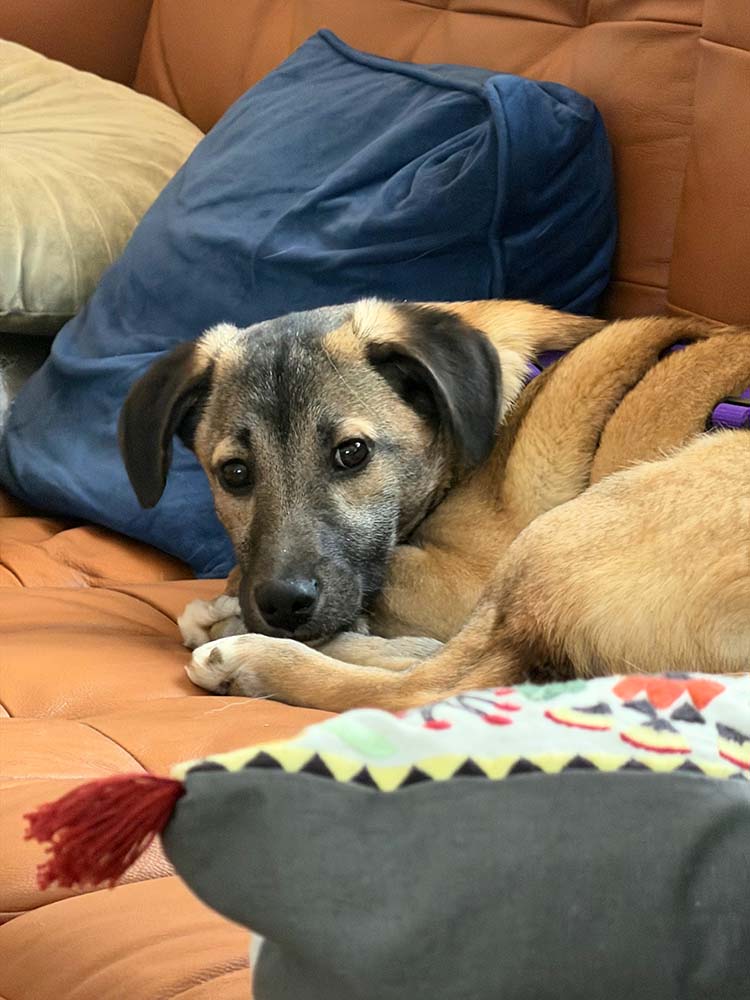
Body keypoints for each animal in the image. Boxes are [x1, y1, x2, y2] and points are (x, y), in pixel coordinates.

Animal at [119, 299, 750, 712]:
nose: (282, 607)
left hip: (565, 534)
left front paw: (230, 603)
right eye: (235, 474)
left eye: (352, 453)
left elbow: (388, 575)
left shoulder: (465, 577)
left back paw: (252, 655)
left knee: (430, 686)